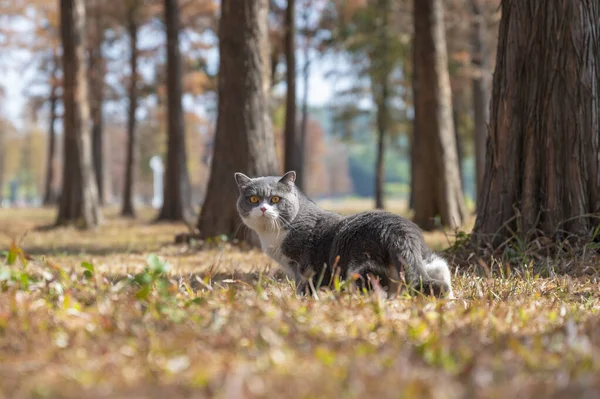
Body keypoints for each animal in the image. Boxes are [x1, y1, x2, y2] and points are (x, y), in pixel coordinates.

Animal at [234, 170, 454, 298]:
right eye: (253, 199)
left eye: (275, 199)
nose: (263, 209)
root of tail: (398, 228)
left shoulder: (305, 265)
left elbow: (304, 285)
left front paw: (302, 301)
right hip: (424, 257)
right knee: (438, 271)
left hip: (358, 262)